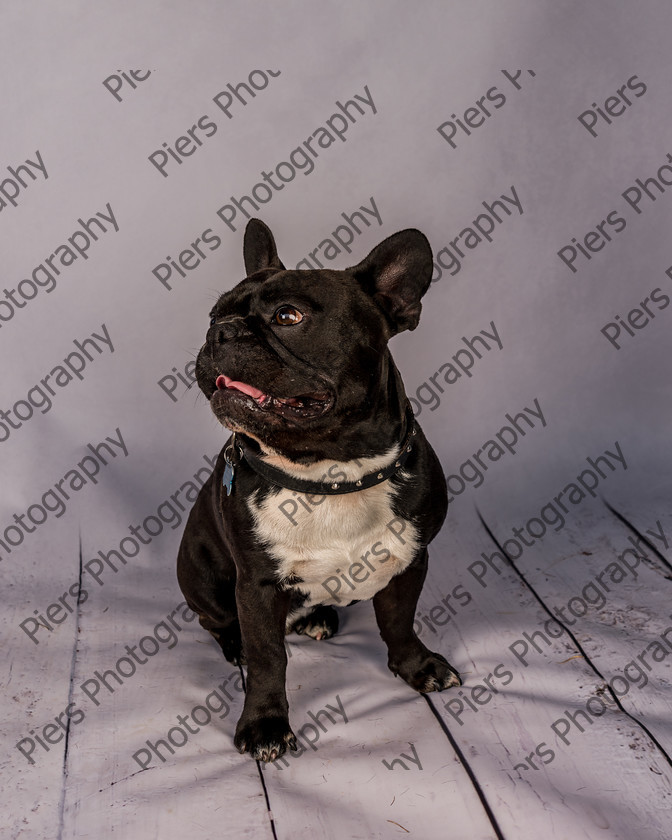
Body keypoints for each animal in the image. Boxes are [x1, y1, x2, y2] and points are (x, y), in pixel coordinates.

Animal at [177, 220, 462, 764]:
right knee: (215, 621)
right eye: (213, 316)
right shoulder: (257, 585)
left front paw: (416, 667)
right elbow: (269, 657)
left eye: (288, 316)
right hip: (198, 574)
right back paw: (235, 643)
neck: (331, 472)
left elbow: (399, 621)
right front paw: (265, 724)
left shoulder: (411, 560)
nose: (220, 332)